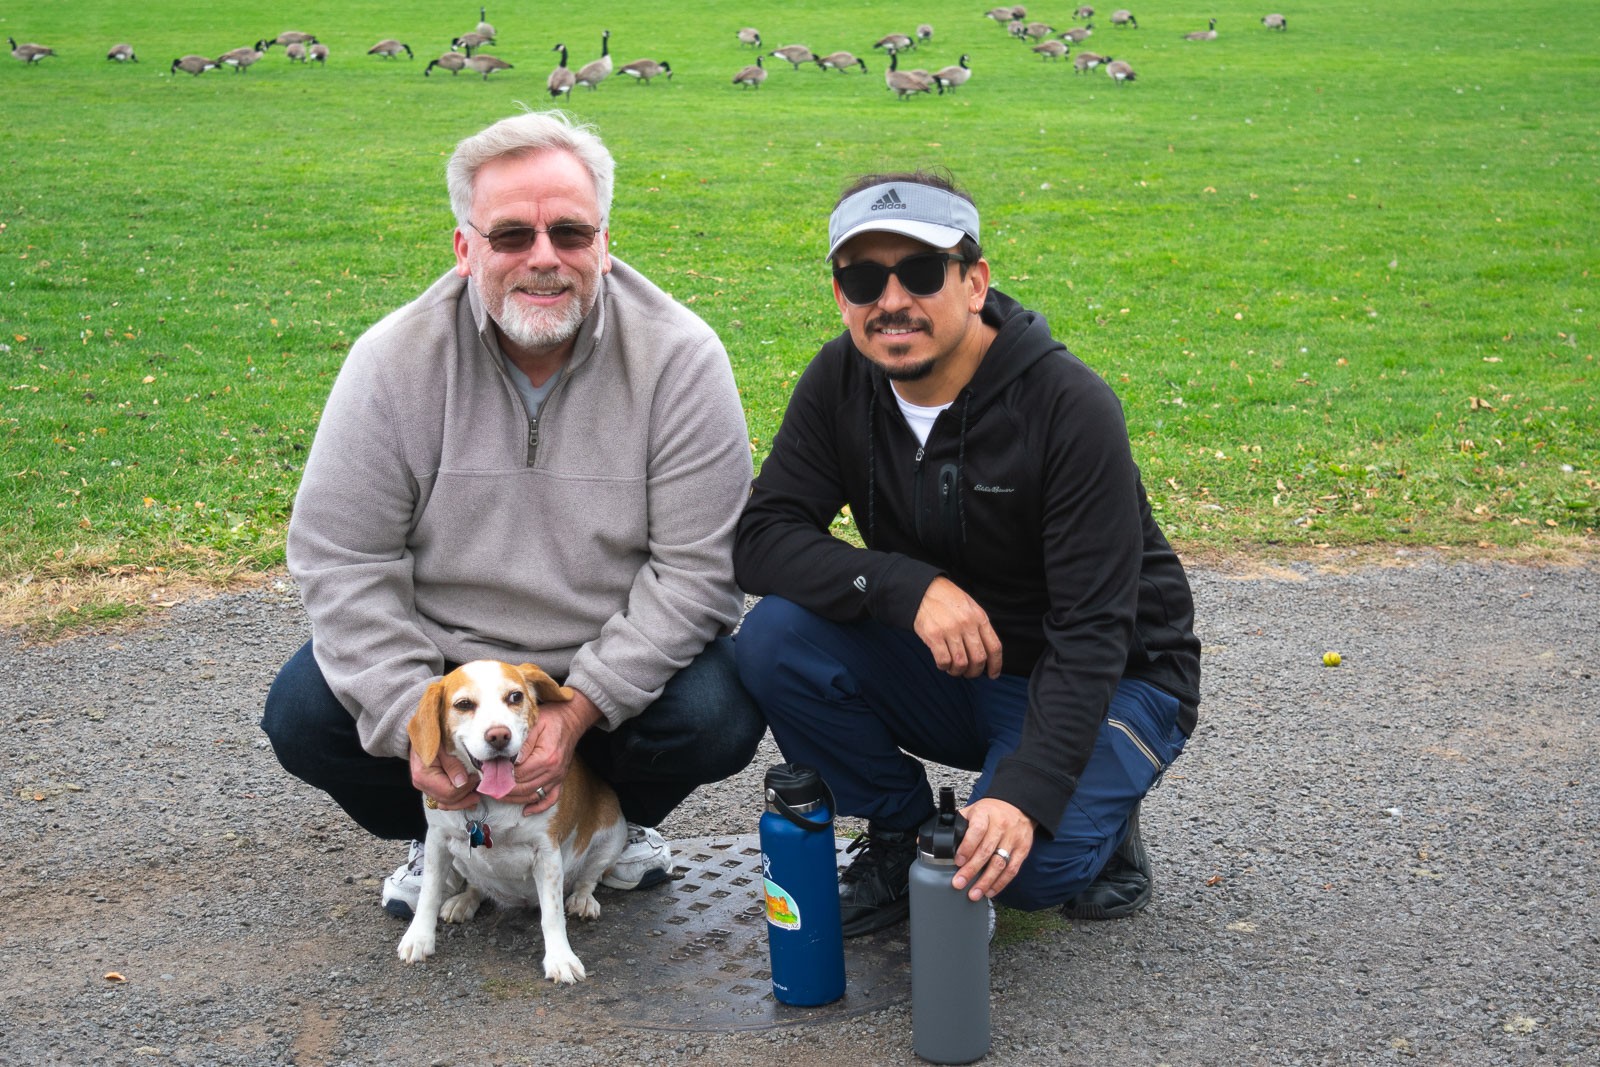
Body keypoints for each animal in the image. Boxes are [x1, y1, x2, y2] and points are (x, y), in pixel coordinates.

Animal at [393, 659, 630, 985]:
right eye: (464, 704)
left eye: (515, 697)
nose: (498, 736)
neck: (488, 802)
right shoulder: (437, 842)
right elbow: (429, 893)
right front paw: (419, 937)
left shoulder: (547, 854)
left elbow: (552, 914)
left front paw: (560, 958)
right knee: (477, 886)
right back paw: (464, 900)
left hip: (613, 835)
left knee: (588, 879)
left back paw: (582, 899)